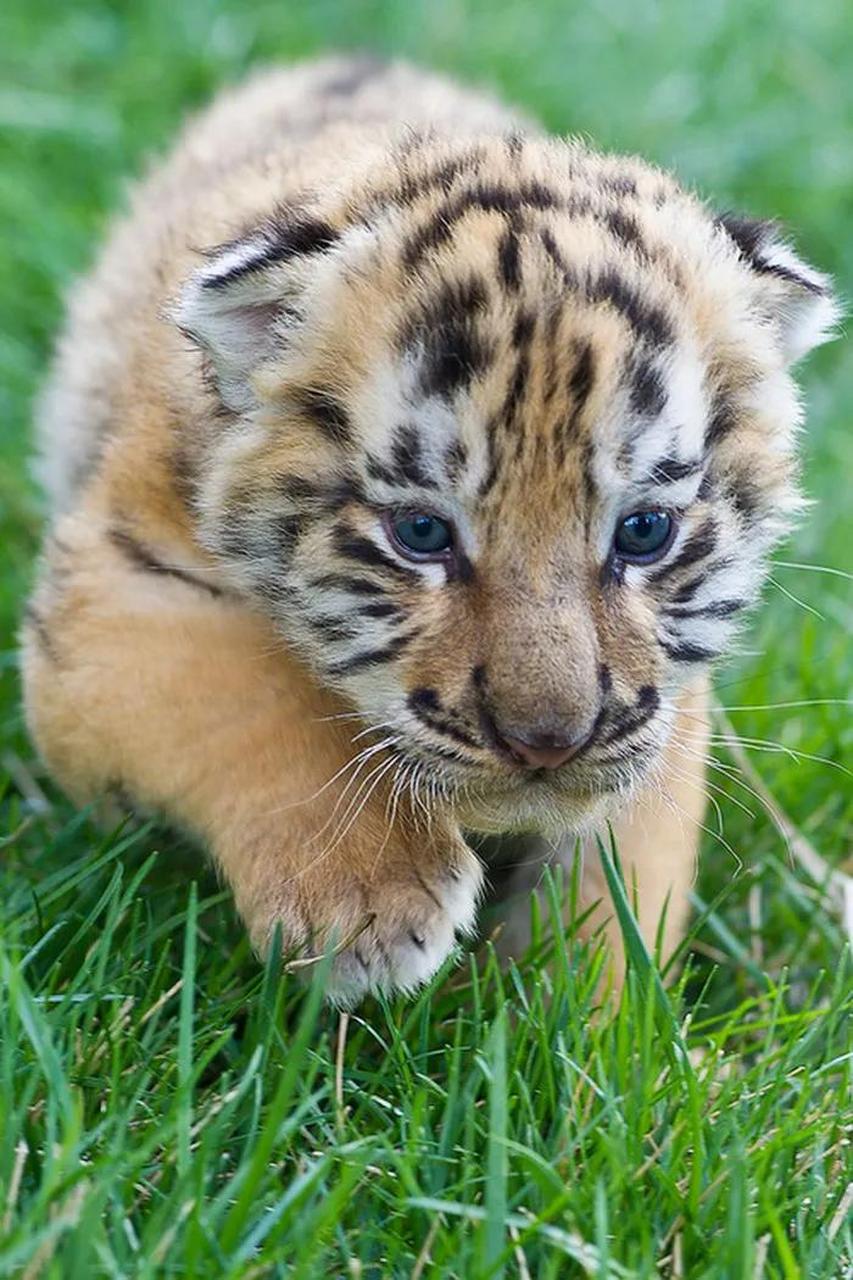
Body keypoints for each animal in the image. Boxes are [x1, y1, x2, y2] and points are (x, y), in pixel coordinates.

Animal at [21, 57, 837, 1005]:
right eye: (420, 532)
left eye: (642, 533)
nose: (546, 743)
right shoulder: (107, 593)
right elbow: (246, 697)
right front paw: (365, 902)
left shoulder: (667, 696)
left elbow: (632, 862)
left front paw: (585, 1019)